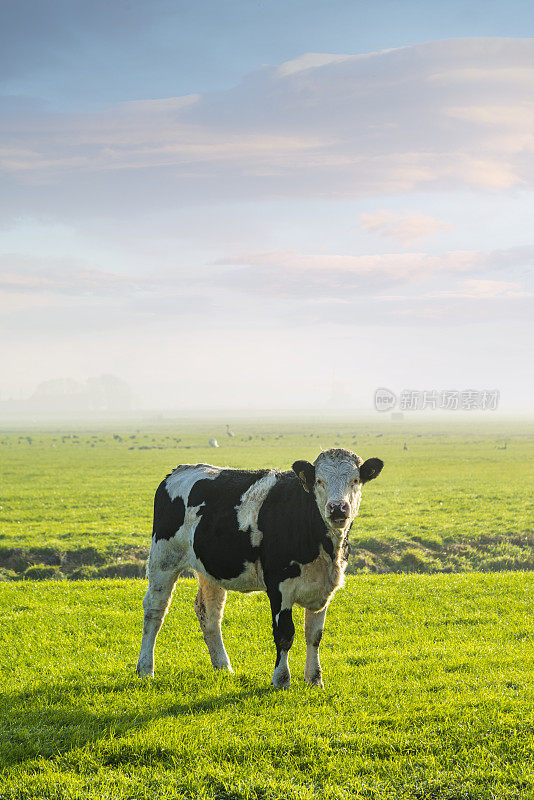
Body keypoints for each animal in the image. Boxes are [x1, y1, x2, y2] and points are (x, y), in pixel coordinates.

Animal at [136, 450, 384, 688]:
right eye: (319, 481)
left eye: (355, 480)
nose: (338, 508)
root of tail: (180, 470)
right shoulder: (279, 586)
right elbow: (285, 634)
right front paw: (281, 680)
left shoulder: (323, 588)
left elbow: (314, 635)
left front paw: (315, 680)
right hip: (163, 559)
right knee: (155, 610)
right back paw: (145, 669)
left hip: (209, 570)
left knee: (209, 613)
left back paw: (223, 667)